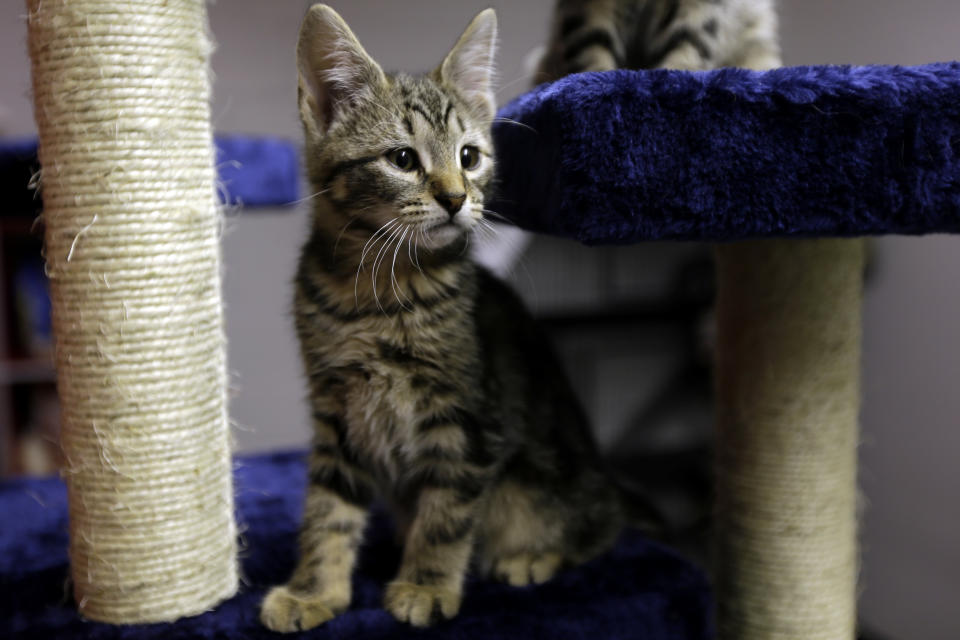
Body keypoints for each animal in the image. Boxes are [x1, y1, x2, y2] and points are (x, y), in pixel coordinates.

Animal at [258, 7, 628, 632]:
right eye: (403, 159)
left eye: (469, 157)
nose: (456, 199)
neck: (378, 296)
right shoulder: (336, 411)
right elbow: (327, 508)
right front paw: (314, 590)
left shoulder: (467, 418)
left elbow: (446, 514)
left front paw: (426, 585)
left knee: (598, 532)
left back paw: (532, 557)